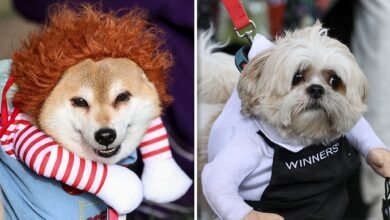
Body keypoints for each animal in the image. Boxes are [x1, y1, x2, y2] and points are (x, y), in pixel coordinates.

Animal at [200, 22, 390, 220]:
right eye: (297, 77)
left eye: (334, 80)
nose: (316, 89)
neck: (299, 141)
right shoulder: (246, 147)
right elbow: (217, 182)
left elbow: (360, 127)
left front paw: (382, 158)